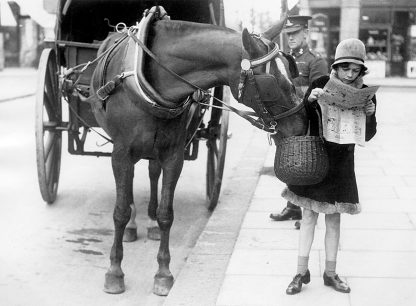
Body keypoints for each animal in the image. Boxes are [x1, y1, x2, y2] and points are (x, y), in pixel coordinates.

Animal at [89, 7, 308, 296]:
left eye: (289, 68)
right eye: (272, 81)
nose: (302, 124)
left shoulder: (173, 154)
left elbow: (166, 214)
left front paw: (163, 273)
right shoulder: (122, 152)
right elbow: (120, 212)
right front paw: (114, 272)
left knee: (152, 171)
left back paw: (149, 221)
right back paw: (134, 224)